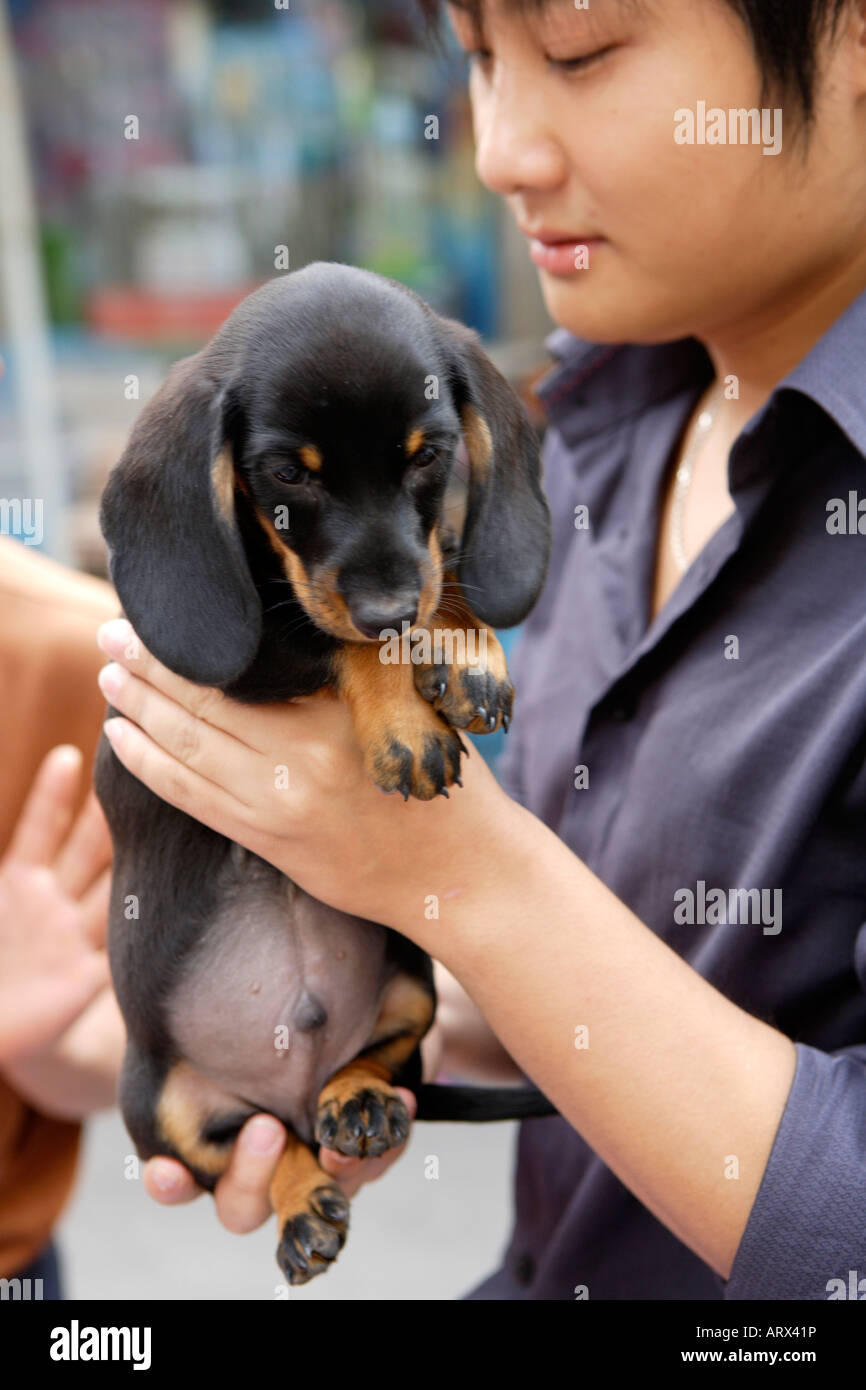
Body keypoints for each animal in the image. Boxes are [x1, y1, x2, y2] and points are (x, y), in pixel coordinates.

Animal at [93, 261, 556, 1278]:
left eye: (429, 456)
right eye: (285, 475)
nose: (389, 611)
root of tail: (292, 1096)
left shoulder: (415, 565)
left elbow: (440, 574)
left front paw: (466, 648)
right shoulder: (254, 651)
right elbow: (333, 636)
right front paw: (405, 716)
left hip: (412, 979)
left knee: (386, 1061)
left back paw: (359, 1098)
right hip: (157, 1103)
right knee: (261, 1146)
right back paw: (303, 1195)